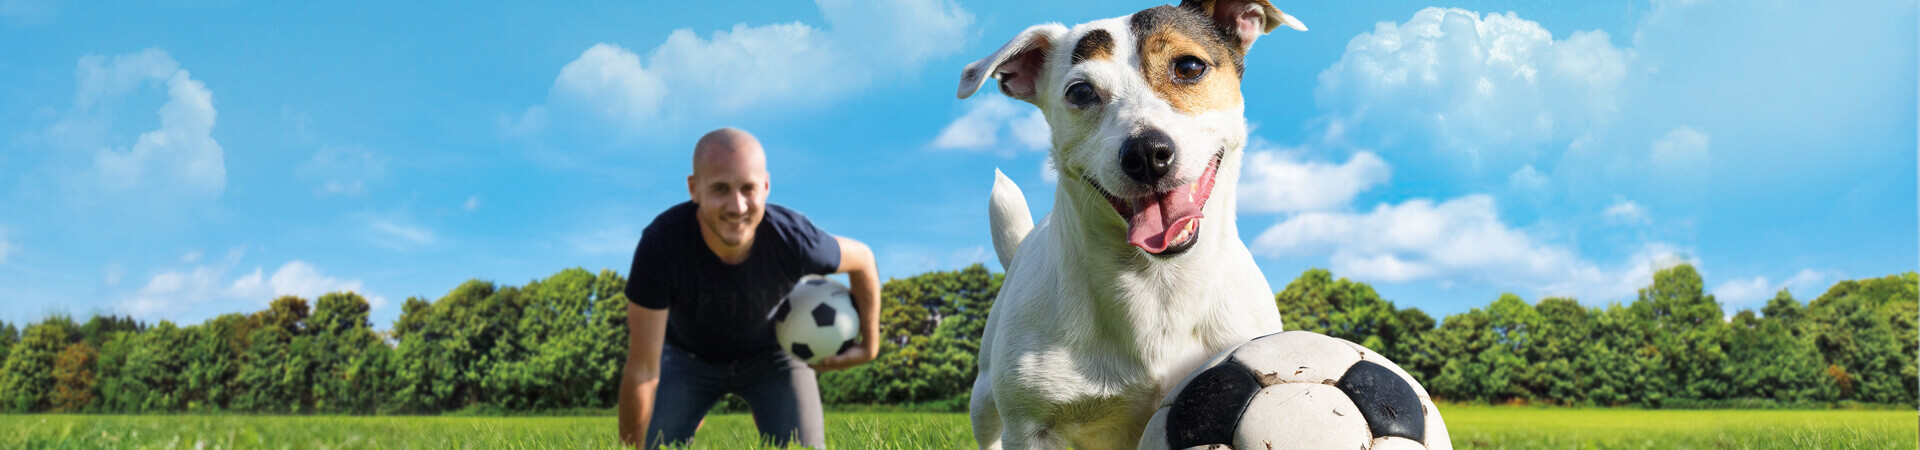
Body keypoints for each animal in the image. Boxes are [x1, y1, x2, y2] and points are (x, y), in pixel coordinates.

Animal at [956, 1, 1305, 448]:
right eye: (1080, 92)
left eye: (1189, 66)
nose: (1146, 153)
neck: (1156, 283)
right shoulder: (1031, 428)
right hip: (984, 401)